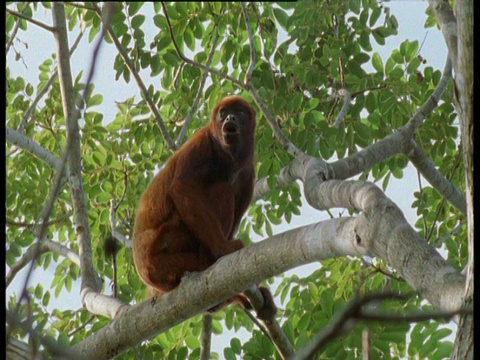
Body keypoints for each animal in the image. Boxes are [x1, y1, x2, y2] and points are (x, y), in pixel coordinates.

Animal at [133, 95, 276, 320]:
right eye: (223, 112)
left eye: (240, 112)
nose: (230, 118)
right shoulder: (202, 142)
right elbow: (182, 188)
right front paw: (223, 248)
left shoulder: (248, 173)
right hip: (162, 252)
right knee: (222, 190)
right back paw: (206, 262)